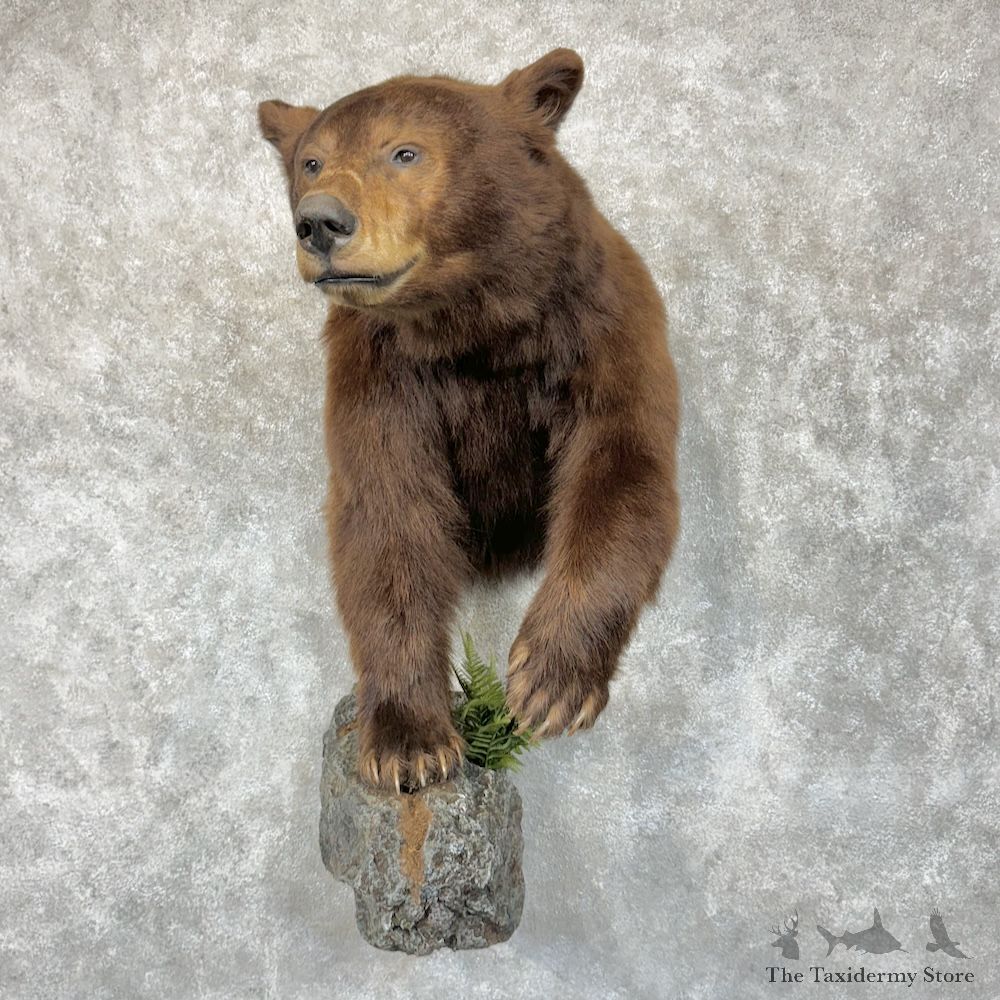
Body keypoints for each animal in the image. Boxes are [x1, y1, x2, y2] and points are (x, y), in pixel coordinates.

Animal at [258, 49, 679, 794]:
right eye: (312, 161)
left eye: (404, 151)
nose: (320, 222)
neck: (475, 324)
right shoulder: (383, 374)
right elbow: (389, 516)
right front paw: (410, 742)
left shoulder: (596, 331)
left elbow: (621, 469)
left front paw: (550, 685)